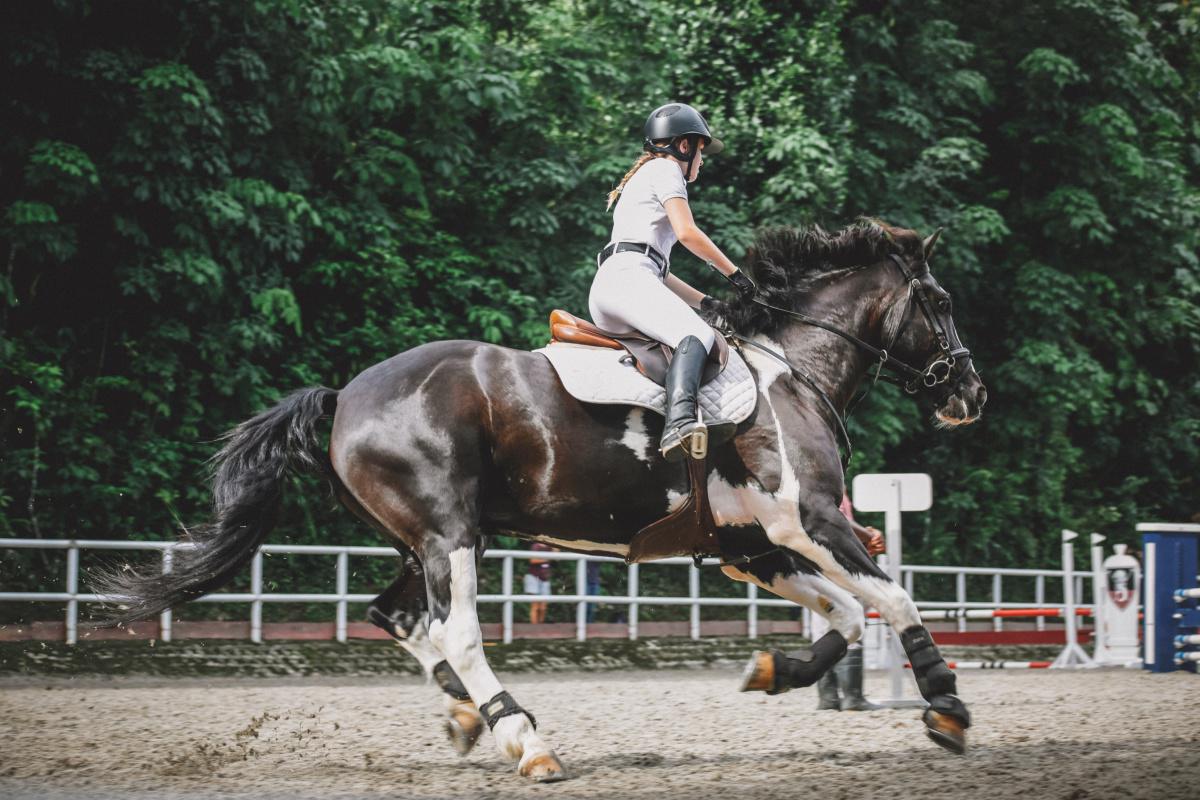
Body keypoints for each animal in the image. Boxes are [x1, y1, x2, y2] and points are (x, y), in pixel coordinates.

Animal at [96, 220, 987, 783]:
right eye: (941, 304)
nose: (971, 395)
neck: (791, 369)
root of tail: (345, 394)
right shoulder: (810, 521)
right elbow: (893, 598)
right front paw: (945, 707)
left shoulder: (753, 548)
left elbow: (846, 617)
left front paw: (775, 670)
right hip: (451, 535)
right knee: (455, 633)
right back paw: (524, 740)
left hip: (423, 542)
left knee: (398, 619)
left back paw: (471, 717)